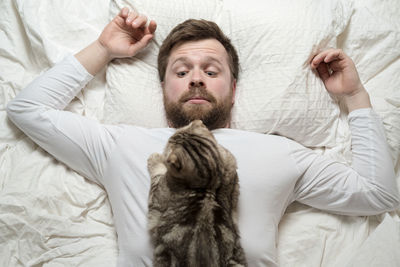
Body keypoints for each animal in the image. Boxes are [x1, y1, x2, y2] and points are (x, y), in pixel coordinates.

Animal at [147, 120, 247, 266]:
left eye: (169, 141)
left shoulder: (156, 198)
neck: (211, 181)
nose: (168, 139)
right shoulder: (231, 165)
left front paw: (155, 158)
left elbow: (158, 174)